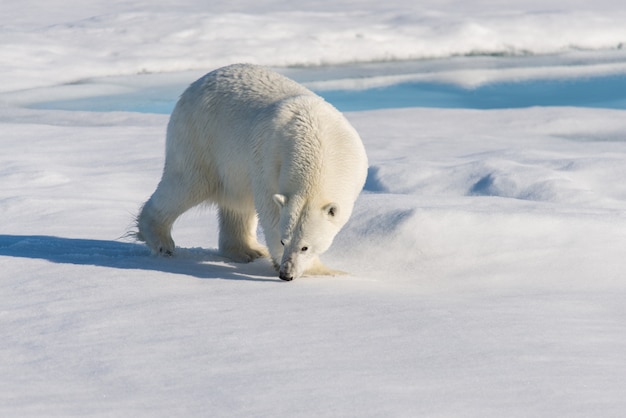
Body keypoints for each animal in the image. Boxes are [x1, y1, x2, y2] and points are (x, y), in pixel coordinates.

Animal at [136, 63, 366, 280]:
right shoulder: (270, 160)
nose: (286, 274)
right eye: (284, 240)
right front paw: (321, 270)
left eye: (305, 247)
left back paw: (248, 250)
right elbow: (270, 211)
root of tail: (196, 84)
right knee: (188, 183)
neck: (318, 144)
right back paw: (161, 241)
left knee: (238, 202)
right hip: (200, 136)